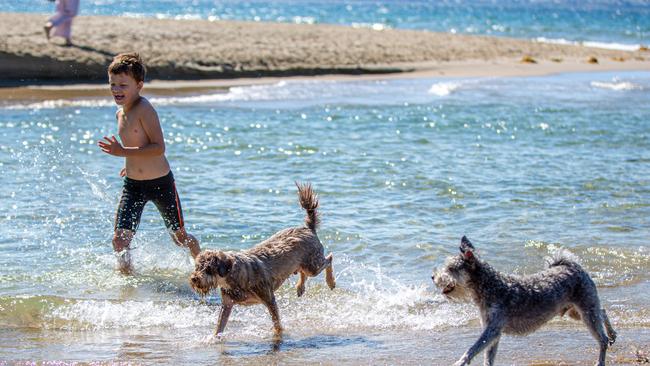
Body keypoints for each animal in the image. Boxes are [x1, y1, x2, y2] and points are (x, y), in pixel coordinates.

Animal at [187, 183, 334, 338]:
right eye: (197, 267)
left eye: (208, 269)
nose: (194, 278)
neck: (234, 276)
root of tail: (308, 228)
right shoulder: (227, 304)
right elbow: (219, 326)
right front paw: (214, 338)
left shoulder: (269, 298)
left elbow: (276, 322)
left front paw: (278, 334)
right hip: (304, 264)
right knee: (303, 271)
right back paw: (300, 287)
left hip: (313, 265)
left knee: (329, 259)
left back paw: (330, 282)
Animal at [432, 236, 616, 364]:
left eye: (451, 268)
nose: (433, 277)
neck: (489, 286)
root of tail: (574, 266)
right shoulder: (492, 331)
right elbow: (488, 356)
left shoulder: (493, 329)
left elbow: (473, 348)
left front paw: (460, 362)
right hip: (576, 311)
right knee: (602, 311)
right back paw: (612, 333)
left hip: (586, 312)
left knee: (602, 339)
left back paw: (601, 358)